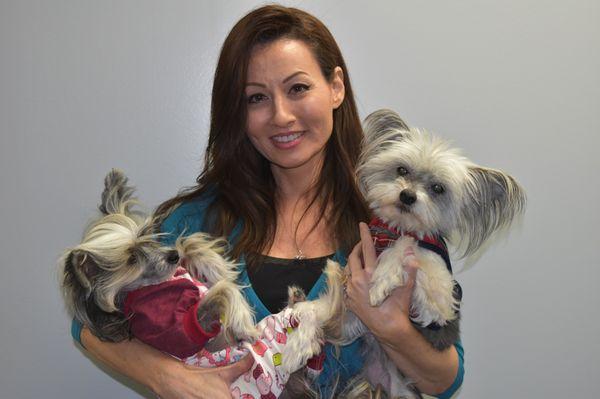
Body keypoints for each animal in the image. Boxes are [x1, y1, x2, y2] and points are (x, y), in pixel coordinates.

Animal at [61, 170, 255, 348]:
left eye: (147, 236)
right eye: (132, 259)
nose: (174, 256)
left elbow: (188, 243)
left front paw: (217, 266)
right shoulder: (188, 331)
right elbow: (224, 290)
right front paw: (245, 327)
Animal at [284, 109, 524, 399]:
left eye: (438, 188)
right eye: (401, 170)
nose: (407, 195)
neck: (394, 228)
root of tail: (379, 378)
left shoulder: (439, 299)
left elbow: (408, 247)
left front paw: (382, 280)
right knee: (317, 313)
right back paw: (297, 330)